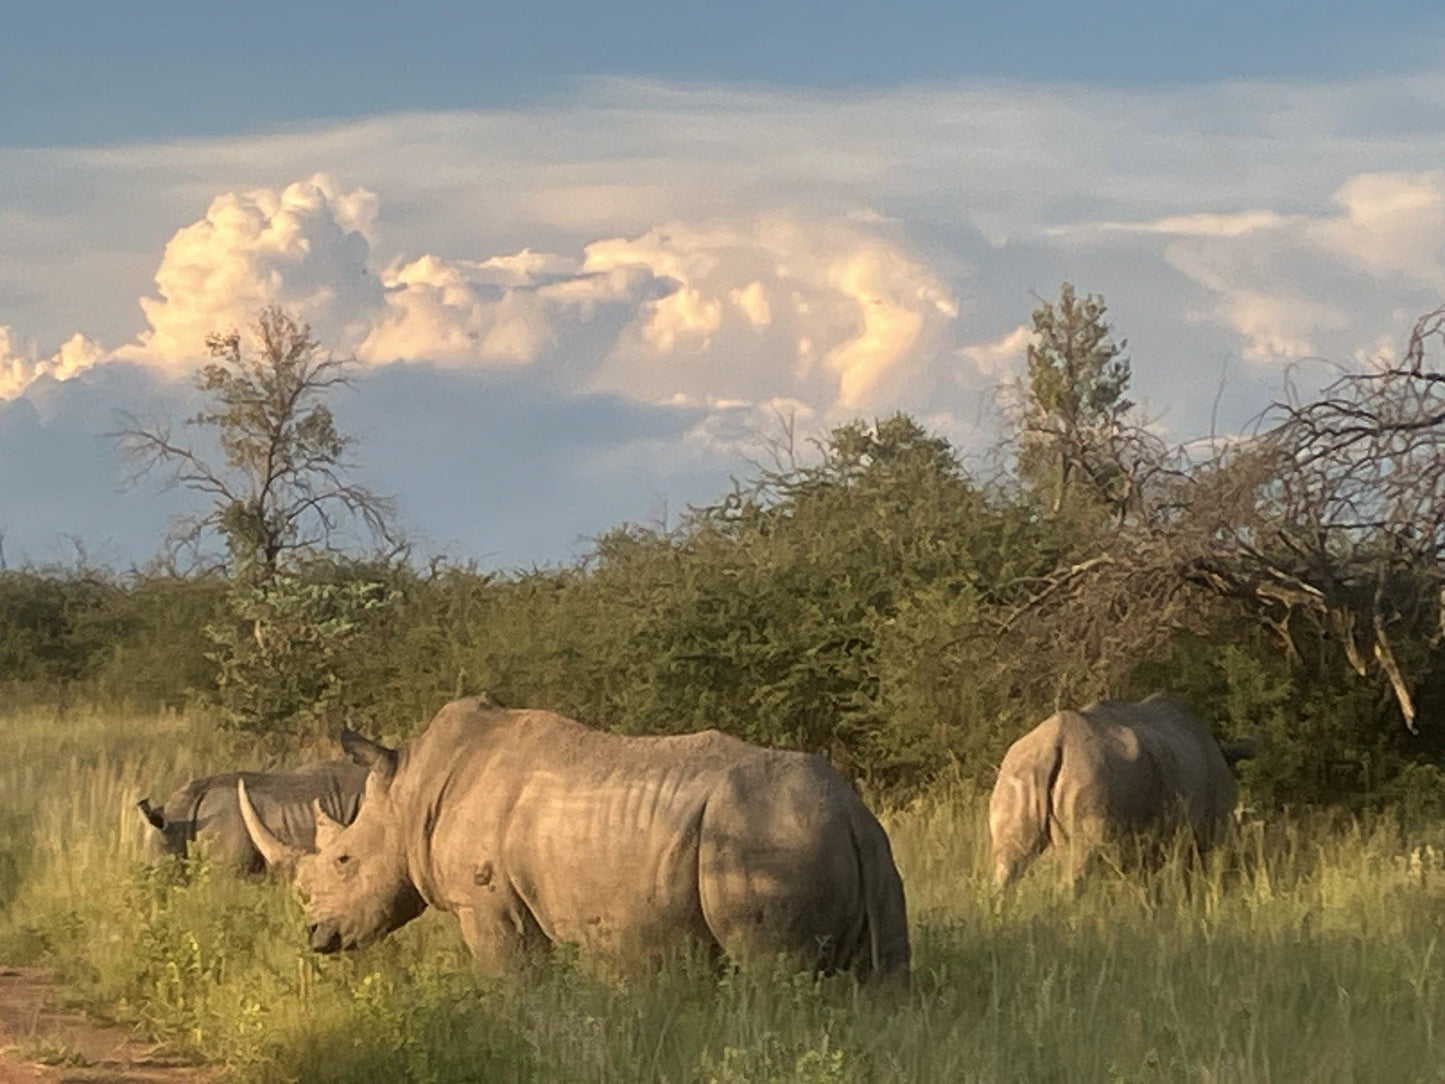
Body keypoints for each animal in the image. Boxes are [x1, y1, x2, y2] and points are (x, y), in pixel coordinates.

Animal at [241, 696, 907, 982]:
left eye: (343, 859)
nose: (317, 937)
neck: (408, 794)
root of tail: (851, 811)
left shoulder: (488, 907)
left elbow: (511, 984)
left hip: (766, 830)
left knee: (770, 973)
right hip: (852, 840)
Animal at [988, 696, 1248, 890]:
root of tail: (1053, 741)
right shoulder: (1194, 830)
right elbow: (1185, 875)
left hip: (1020, 769)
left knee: (1008, 861)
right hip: (1090, 772)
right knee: (1082, 859)